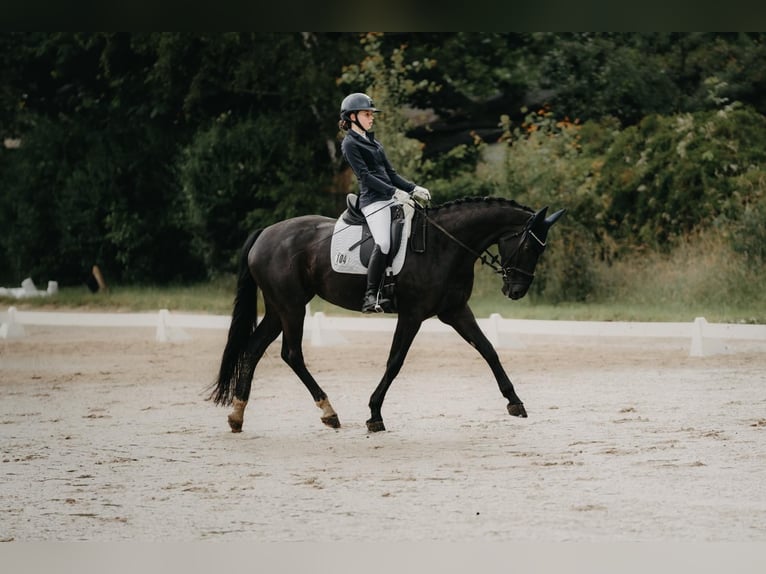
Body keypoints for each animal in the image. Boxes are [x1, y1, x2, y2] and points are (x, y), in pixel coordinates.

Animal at [208, 197, 564, 432]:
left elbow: (489, 350)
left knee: (253, 349)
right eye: (529, 246)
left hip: (278, 307)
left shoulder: (455, 310)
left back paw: (238, 416)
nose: (516, 291)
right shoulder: (412, 314)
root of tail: (266, 233)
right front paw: (374, 414)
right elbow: (395, 362)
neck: (445, 244)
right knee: (291, 353)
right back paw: (329, 412)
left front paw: (515, 402)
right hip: (292, 306)